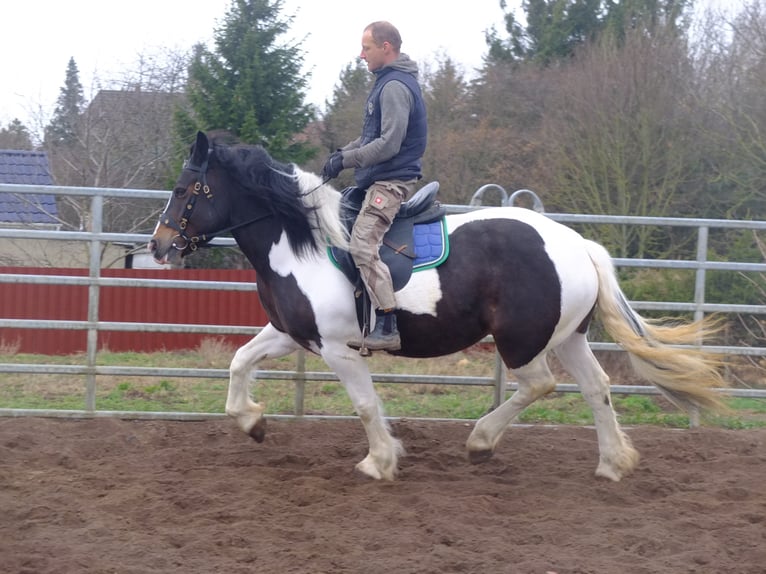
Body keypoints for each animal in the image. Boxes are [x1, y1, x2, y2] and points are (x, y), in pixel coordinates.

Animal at [152, 130, 732, 482]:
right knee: (598, 387)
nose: (158, 245)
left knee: (539, 385)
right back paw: (612, 463)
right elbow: (238, 363)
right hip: (568, 336)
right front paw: (252, 422)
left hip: (522, 341)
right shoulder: (291, 334)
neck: (304, 245)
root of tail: (578, 245)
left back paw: (481, 441)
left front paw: (379, 461)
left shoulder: (340, 349)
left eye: (184, 189)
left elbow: (365, 405)